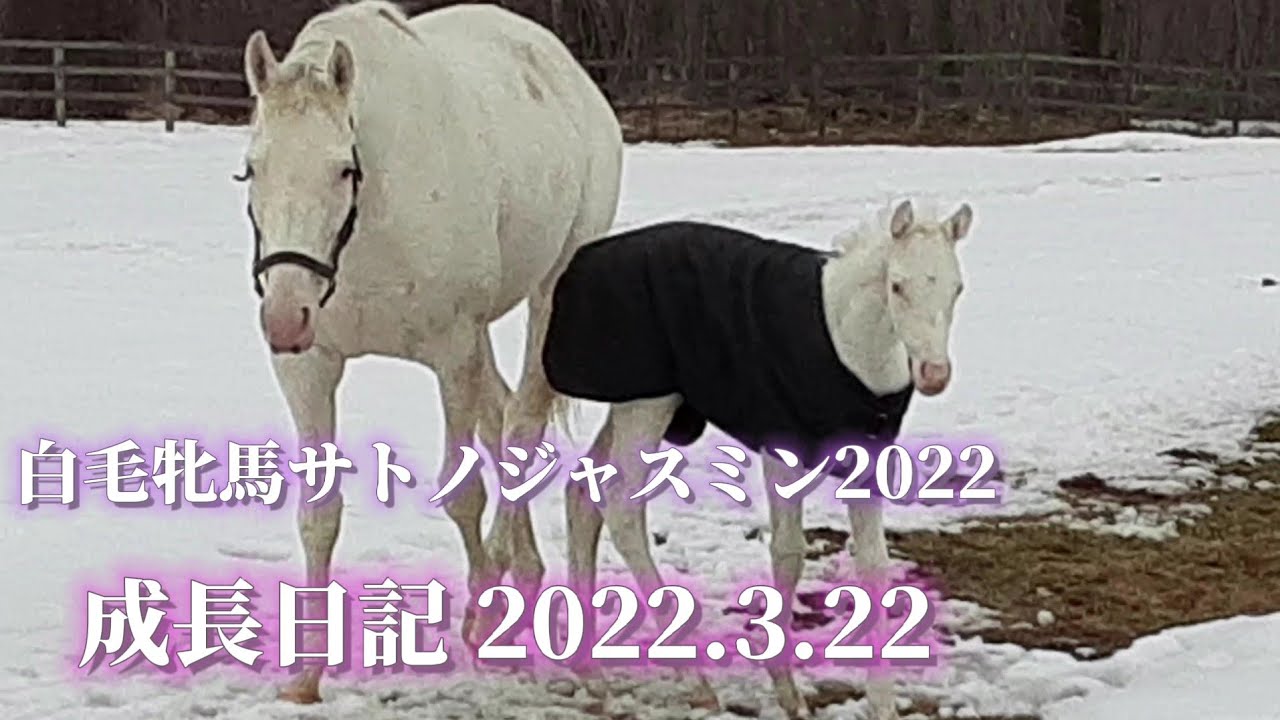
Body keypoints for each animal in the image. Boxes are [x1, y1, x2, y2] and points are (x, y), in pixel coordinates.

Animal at [238, 0, 623, 703]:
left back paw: (503, 598)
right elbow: (318, 514)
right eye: (253, 168)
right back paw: (522, 576)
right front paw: (306, 672)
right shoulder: (309, 366)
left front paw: (484, 611)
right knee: (502, 423)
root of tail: (564, 67)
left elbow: (464, 493)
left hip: (549, 294)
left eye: (343, 169)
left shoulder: (450, 354)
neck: (368, 227)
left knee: (521, 429)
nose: (282, 315)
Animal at [540, 199, 974, 719]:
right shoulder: (781, 448)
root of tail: (579, 263)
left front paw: (882, 704)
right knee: (622, 508)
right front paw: (785, 687)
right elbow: (788, 552)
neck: (847, 345)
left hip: (637, 404)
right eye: (898, 285)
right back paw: (693, 678)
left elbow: (874, 564)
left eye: (957, 287)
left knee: (583, 494)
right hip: (646, 403)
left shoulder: (866, 461)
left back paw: (589, 670)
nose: (934, 374)